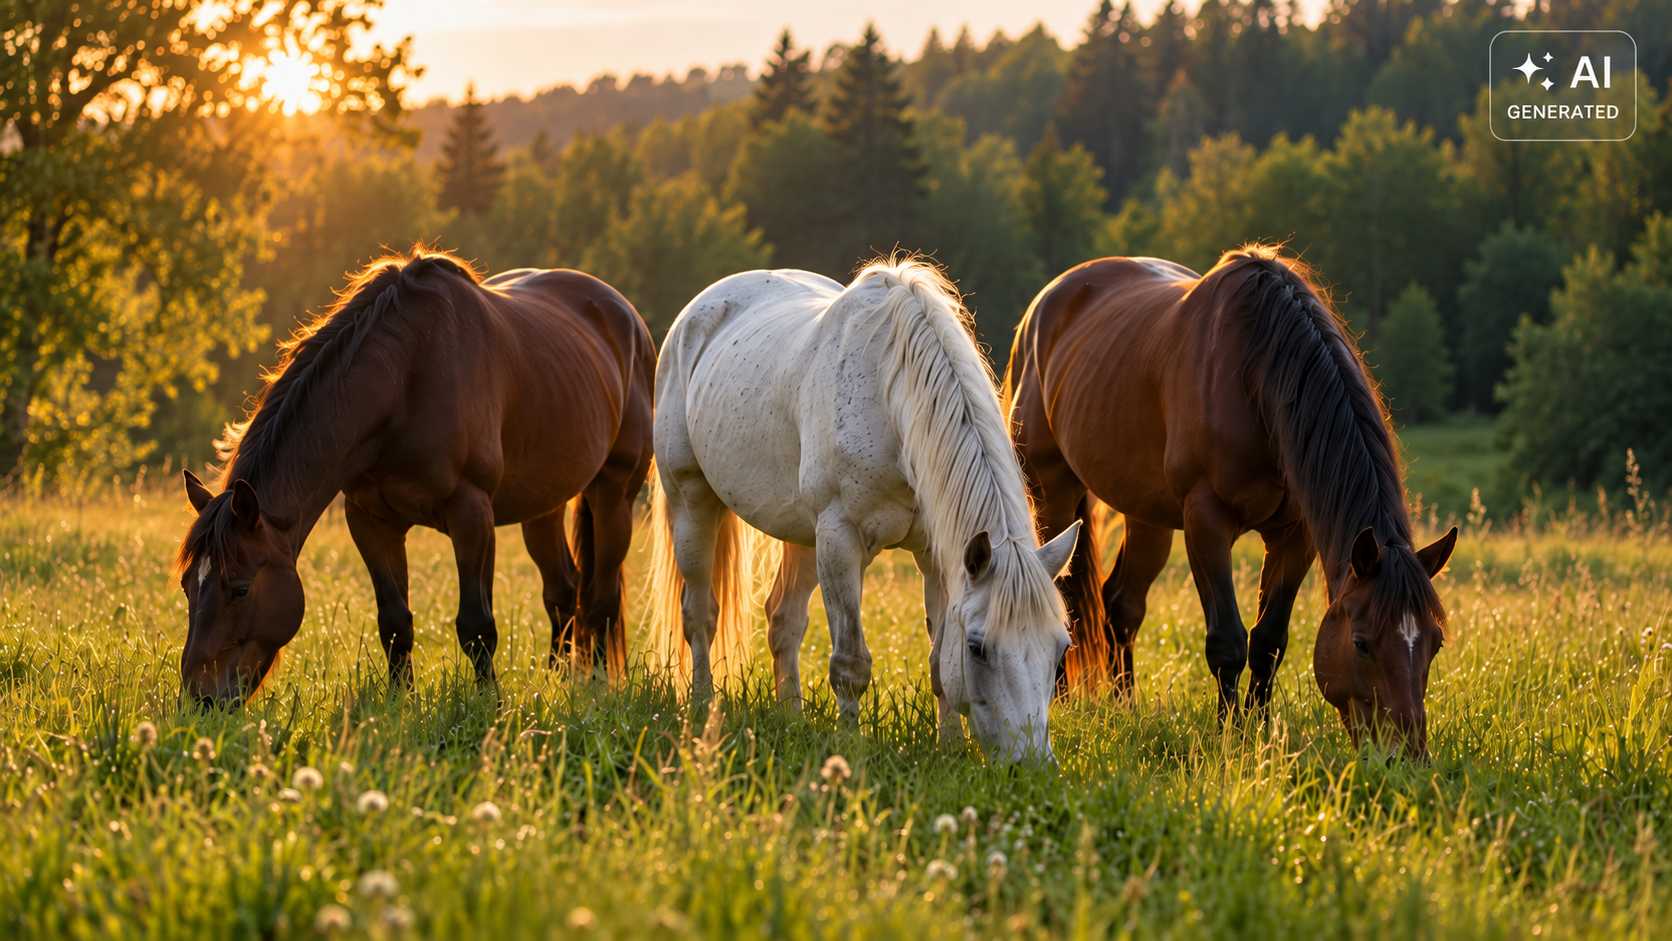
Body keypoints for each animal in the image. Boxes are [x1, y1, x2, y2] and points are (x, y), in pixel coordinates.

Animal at [175, 249, 654, 705]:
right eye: (186, 586)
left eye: (239, 589)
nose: (202, 698)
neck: (406, 379)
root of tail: (627, 318)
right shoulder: (371, 521)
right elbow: (394, 622)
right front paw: (398, 700)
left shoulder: (471, 514)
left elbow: (477, 625)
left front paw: (488, 703)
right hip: (543, 505)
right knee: (563, 590)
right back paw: (559, 677)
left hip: (614, 494)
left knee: (601, 598)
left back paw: (595, 682)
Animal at [647, 259, 1081, 763]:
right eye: (977, 647)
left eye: (1060, 647)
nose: (1031, 766)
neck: (892, 400)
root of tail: (698, 311)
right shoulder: (841, 539)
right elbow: (850, 663)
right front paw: (848, 749)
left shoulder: (937, 556)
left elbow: (939, 665)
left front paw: (950, 748)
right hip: (692, 503)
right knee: (700, 614)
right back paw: (702, 706)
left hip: (803, 535)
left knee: (783, 621)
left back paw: (791, 718)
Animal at [1004, 246, 1456, 757]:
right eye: (1361, 642)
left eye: (1435, 643)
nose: (1403, 755)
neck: (1255, 376)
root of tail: (1044, 305)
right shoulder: (1207, 523)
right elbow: (1227, 642)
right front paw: (1229, 736)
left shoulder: (1294, 537)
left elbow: (1268, 641)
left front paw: (1259, 731)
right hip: (1053, 494)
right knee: (1061, 591)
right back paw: (1058, 700)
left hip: (1147, 516)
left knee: (1122, 606)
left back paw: (1126, 708)